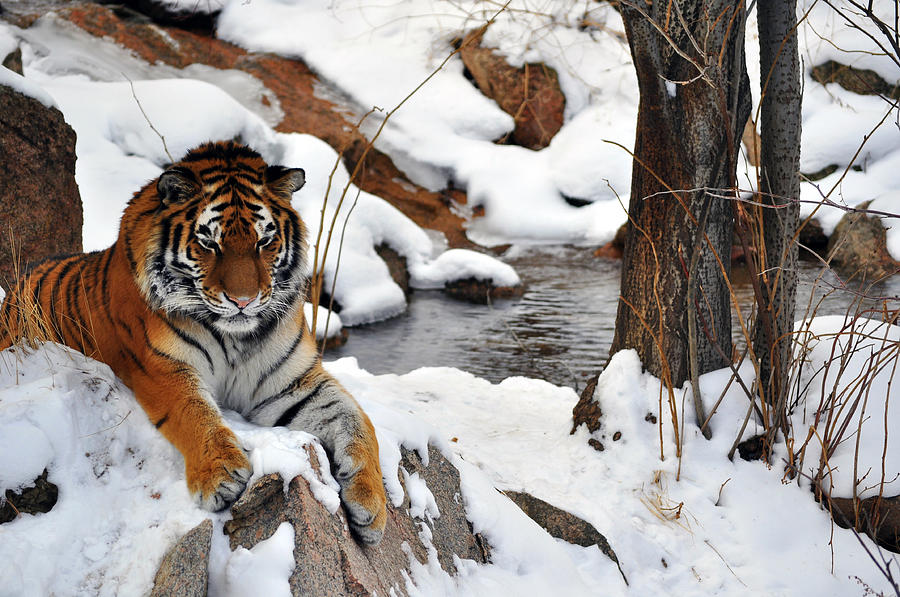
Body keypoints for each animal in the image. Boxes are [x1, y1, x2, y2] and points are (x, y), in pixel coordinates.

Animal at [0, 140, 386, 544]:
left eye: (264, 241)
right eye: (209, 244)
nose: (243, 300)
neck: (237, 337)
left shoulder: (293, 383)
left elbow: (358, 421)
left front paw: (372, 506)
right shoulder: (163, 367)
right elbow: (195, 413)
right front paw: (220, 475)